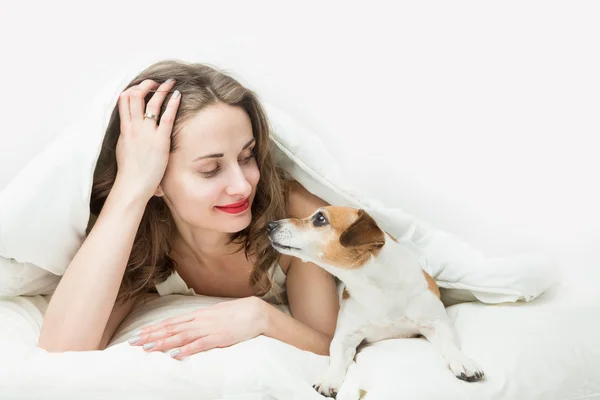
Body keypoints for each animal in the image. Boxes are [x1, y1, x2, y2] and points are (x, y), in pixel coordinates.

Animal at [270, 206, 486, 396]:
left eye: (320, 219)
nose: (270, 224)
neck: (376, 290)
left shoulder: (437, 322)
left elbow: (450, 344)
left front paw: (463, 362)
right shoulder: (345, 337)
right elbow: (336, 357)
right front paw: (329, 379)